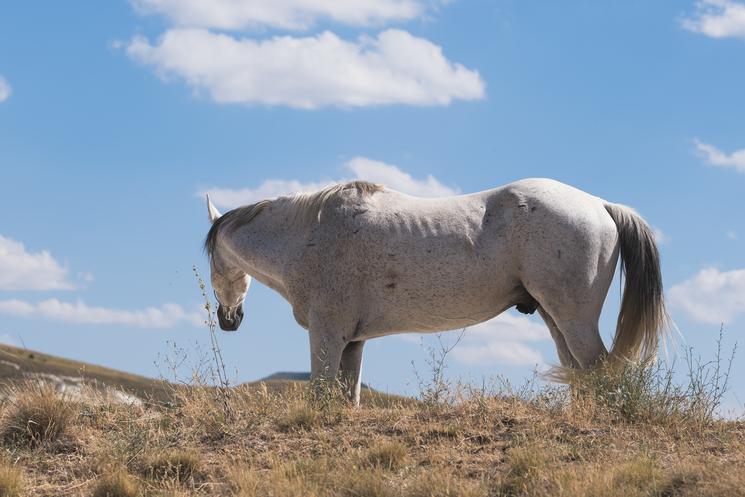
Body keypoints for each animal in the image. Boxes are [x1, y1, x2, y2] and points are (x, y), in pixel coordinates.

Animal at [205, 177, 668, 404]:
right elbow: (345, 401)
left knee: (600, 374)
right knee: (580, 377)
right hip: (556, 320)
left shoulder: (327, 335)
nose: (229, 320)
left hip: (573, 320)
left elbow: (320, 396)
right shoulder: (352, 342)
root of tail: (599, 204)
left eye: (211, 263)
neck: (311, 235)